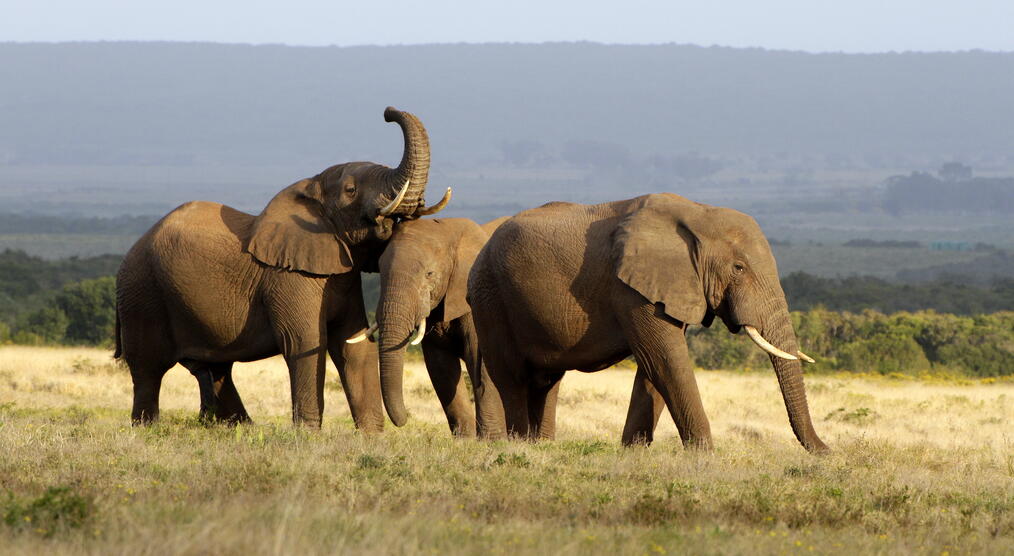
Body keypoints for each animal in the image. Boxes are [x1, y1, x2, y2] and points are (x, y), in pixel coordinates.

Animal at [112, 107, 452, 430]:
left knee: (215, 368)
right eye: (351, 190)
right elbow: (306, 343)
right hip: (142, 293)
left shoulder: (343, 273)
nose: (387, 112)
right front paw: (309, 435)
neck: (311, 190)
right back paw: (147, 428)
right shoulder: (289, 278)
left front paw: (371, 437)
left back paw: (241, 427)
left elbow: (352, 346)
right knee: (148, 369)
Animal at [466, 193, 831, 454]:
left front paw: (634, 452)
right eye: (739, 268)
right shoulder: (629, 289)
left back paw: (541, 446)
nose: (828, 451)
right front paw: (704, 455)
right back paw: (519, 447)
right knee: (512, 376)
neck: (698, 213)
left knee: (547, 381)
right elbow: (665, 359)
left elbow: (655, 365)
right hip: (490, 297)